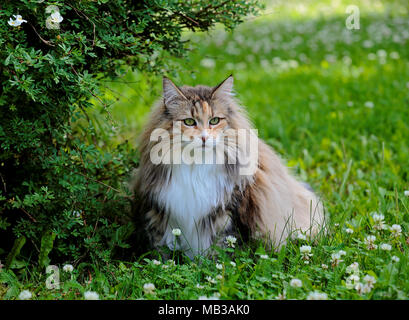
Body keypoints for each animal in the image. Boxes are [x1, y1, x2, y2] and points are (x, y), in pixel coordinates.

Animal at [131, 75, 326, 260]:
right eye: (189, 122)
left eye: (214, 120)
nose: (204, 138)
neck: (196, 165)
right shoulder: (161, 210)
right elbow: (161, 249)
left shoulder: (229, 211)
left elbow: (222, 248)